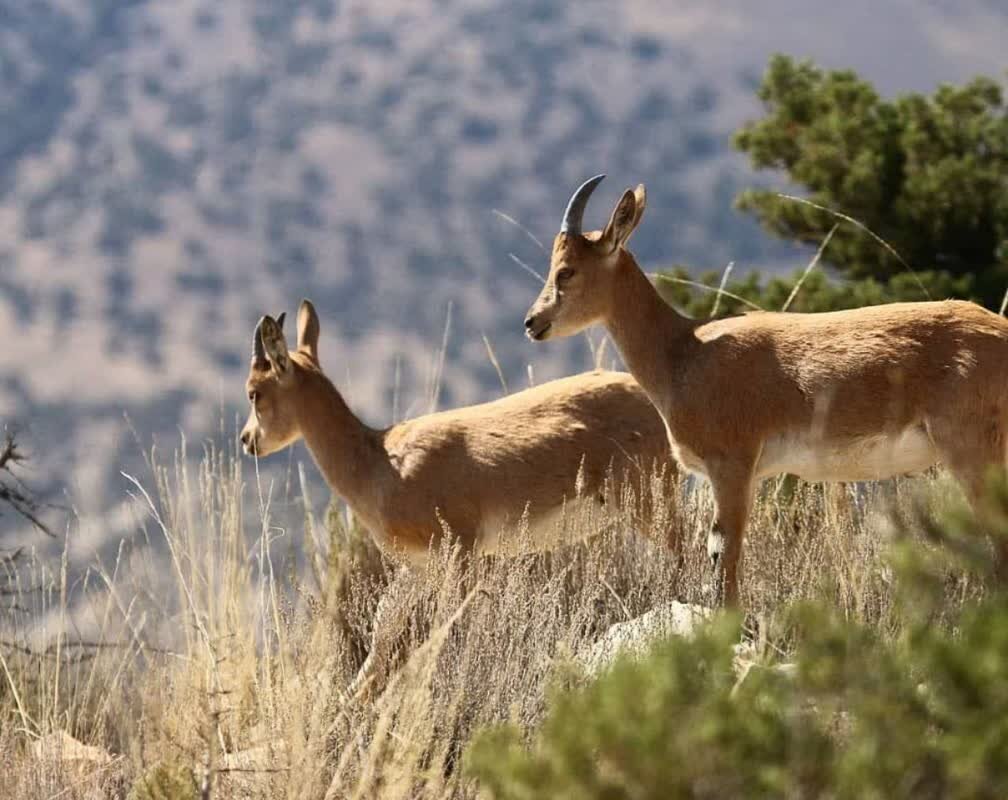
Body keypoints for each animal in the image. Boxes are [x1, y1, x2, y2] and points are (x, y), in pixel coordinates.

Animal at [524, 171, 1008, 600]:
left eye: (566, 271)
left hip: (972, 453)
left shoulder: (732, 465)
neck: (684, 352)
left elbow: (728, 561)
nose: (533, 322)